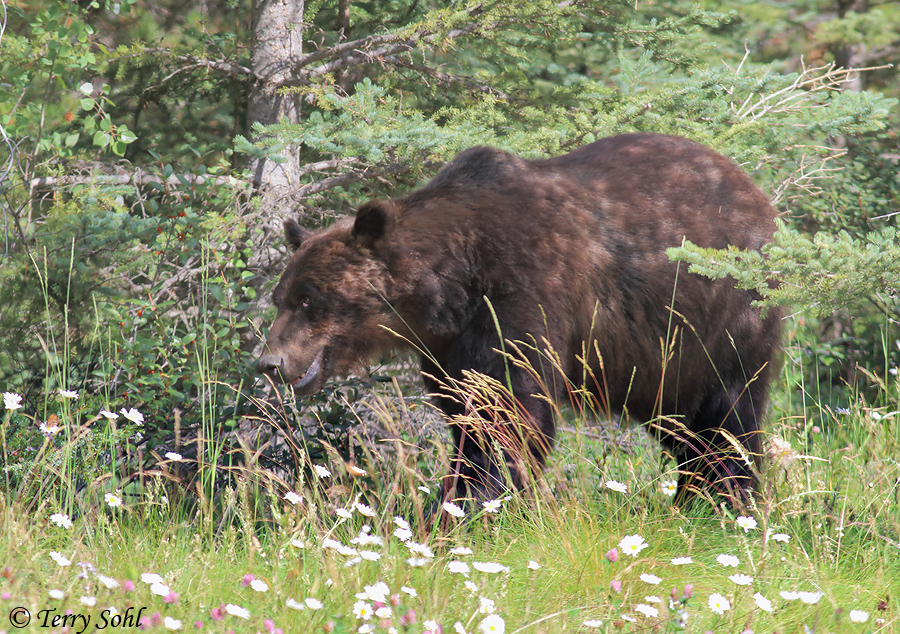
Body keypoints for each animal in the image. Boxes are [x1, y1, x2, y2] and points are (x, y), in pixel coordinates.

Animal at [257, 132, 781, 505]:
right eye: (280, 297)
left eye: (309, 299)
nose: (269, 361)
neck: (451, 287)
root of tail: (755, 193)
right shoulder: (447, 348)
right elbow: (468, 411)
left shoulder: (521, 290)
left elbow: (508, 412)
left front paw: (470, 504)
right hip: (656, 360)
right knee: (681, 423)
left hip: (720, 318)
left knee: (727, 415)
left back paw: (725, 499)